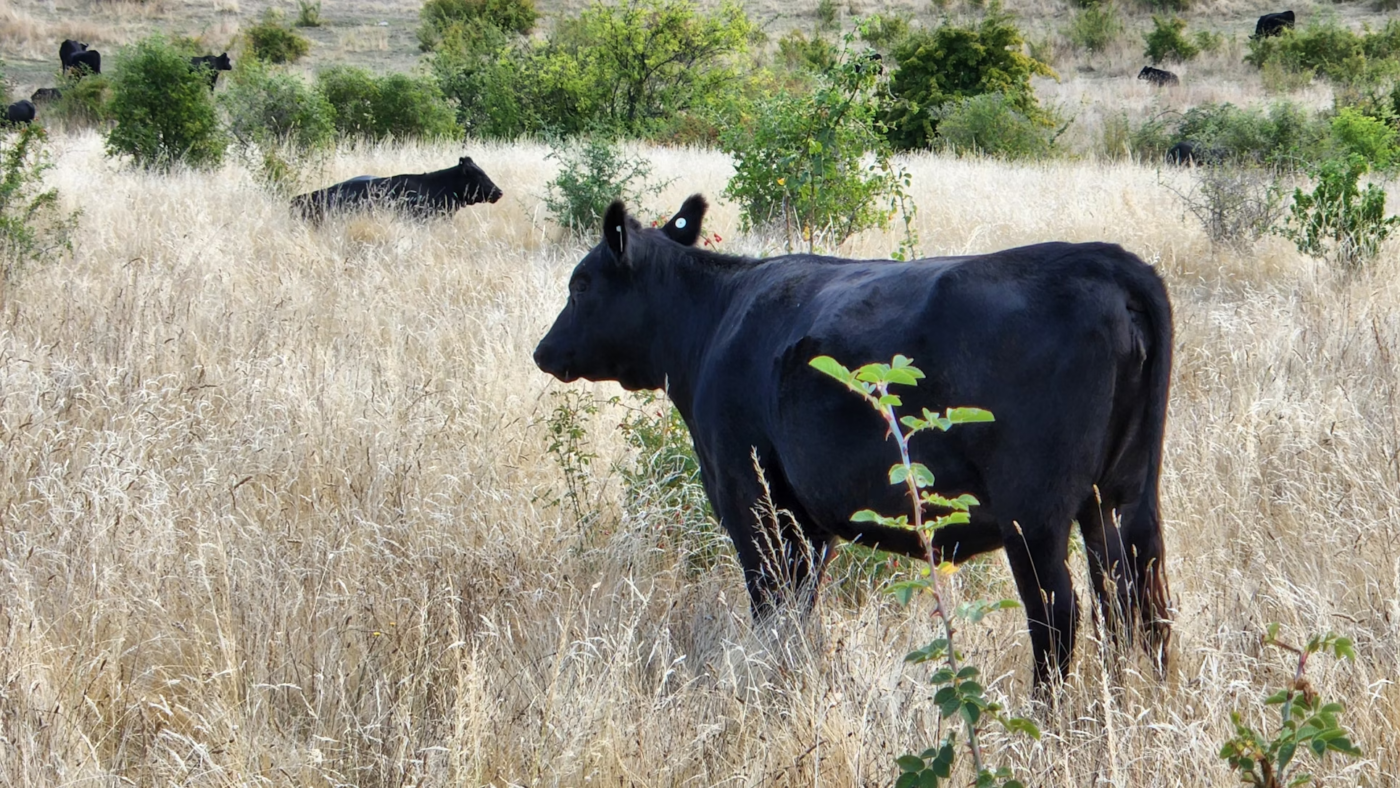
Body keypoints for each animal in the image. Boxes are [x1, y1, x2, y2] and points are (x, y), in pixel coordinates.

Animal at [529, 195, 1176, 691]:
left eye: (581, 285)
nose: (543, 349)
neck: (713, 322)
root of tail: (1103, 259)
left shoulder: (749, 496)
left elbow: (770, 600)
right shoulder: (809, 519)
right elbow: (799, 606)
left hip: (1035, 512)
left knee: (1058, 612)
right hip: (1123, 497)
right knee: (1138, 597)